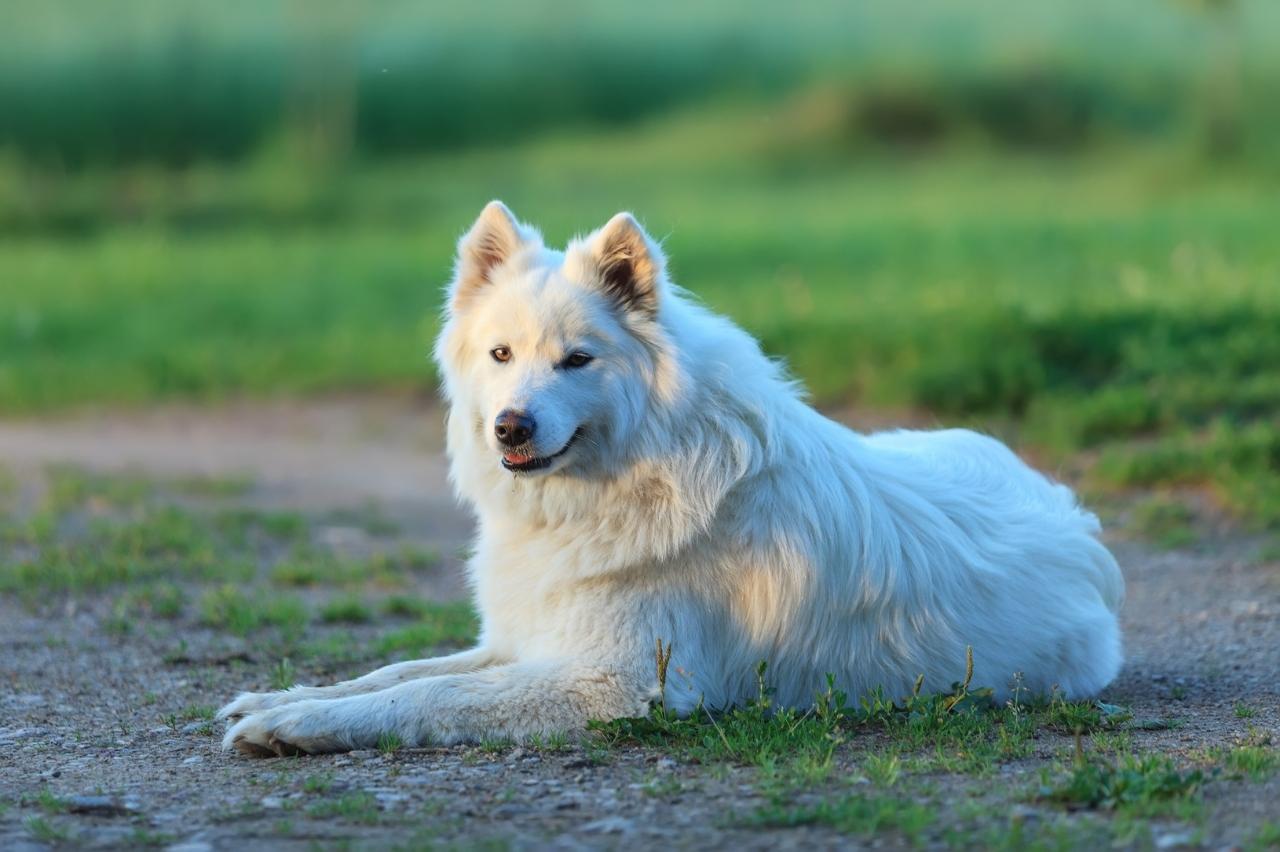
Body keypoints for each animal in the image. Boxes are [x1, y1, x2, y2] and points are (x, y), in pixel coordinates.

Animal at [217, 202, 1121, 752]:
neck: (623, 481)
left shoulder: (610, 684)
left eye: (577, 360)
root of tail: (1076, 519)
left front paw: (297, 722)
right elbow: (399, 672)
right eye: (500, 354)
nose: (511, 426)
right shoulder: (521, 640)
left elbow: (427, 700)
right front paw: (283, 698)